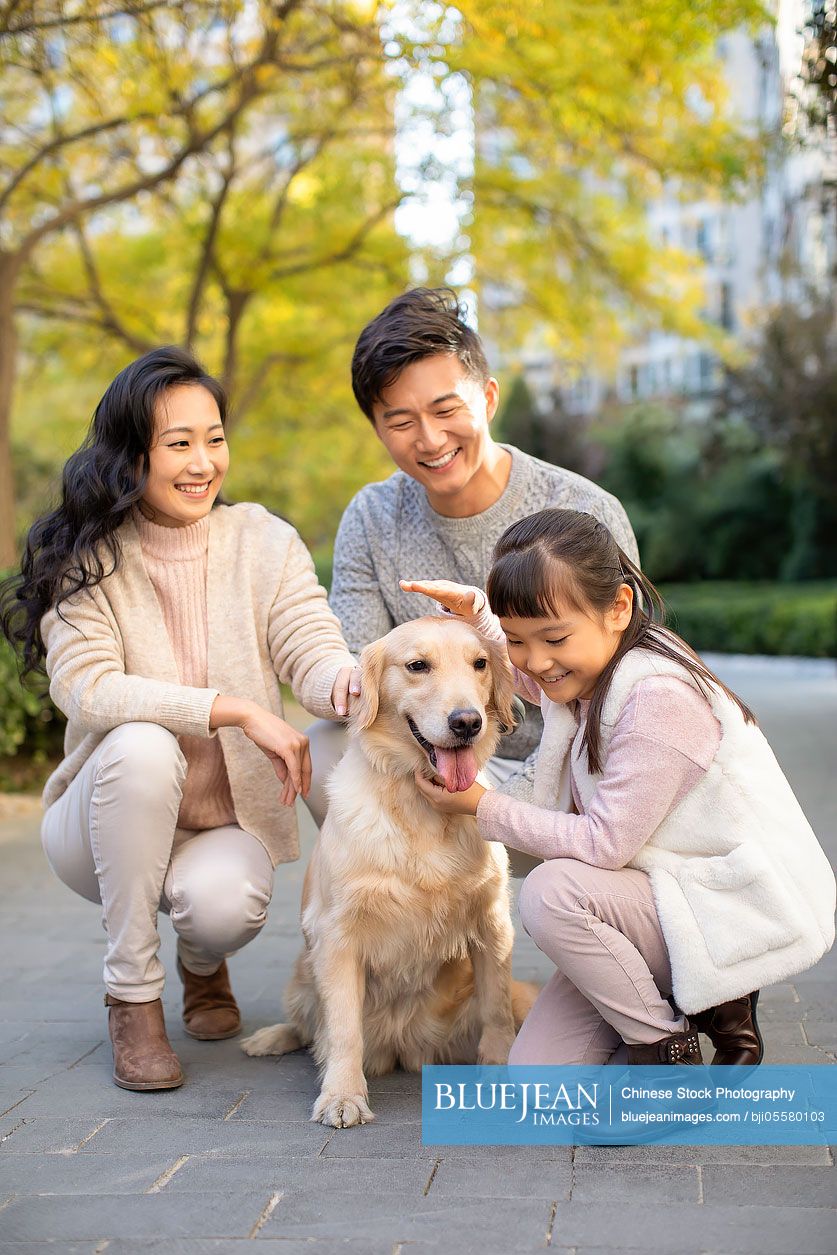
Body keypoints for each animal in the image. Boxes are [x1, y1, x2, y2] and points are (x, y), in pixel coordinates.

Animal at [240, 614, 537, 1129]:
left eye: (480, 663)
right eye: (417, 666)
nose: (468, 722)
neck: (419, 804)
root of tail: (406, 1047)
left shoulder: (492, 923)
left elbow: (496, 1009)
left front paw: (499, 1071)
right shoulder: (337, 935)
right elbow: (342, 1029)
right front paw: (342, 1095)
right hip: (301, 976)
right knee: (308, 1026)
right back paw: (270, 1038)